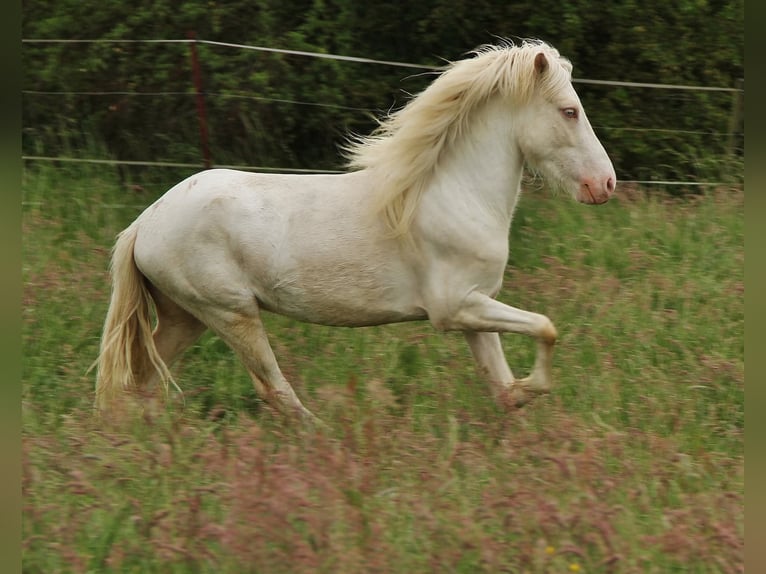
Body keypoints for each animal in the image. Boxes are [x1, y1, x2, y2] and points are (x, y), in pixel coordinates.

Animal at [94, 40, 616, 424]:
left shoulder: (475, 306)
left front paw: (517, 403)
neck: (453, 195)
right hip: (230, 313)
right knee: (272, 387)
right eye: (569, 111)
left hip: (186, 317)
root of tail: (144, 223)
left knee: (139, 380)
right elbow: (546, 328)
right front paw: (531, 389)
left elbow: (501, 381)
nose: (605, 184)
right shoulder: (454, 308)